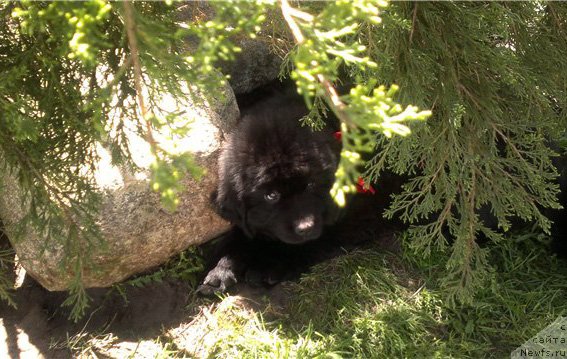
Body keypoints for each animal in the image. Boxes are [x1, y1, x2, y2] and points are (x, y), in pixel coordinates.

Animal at [197, 85, 342, 296]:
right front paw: (219, 270)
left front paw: (268, 266)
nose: (305, 227)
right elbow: (241, 235)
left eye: (310, 185)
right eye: (271, 195)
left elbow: (317, 240)